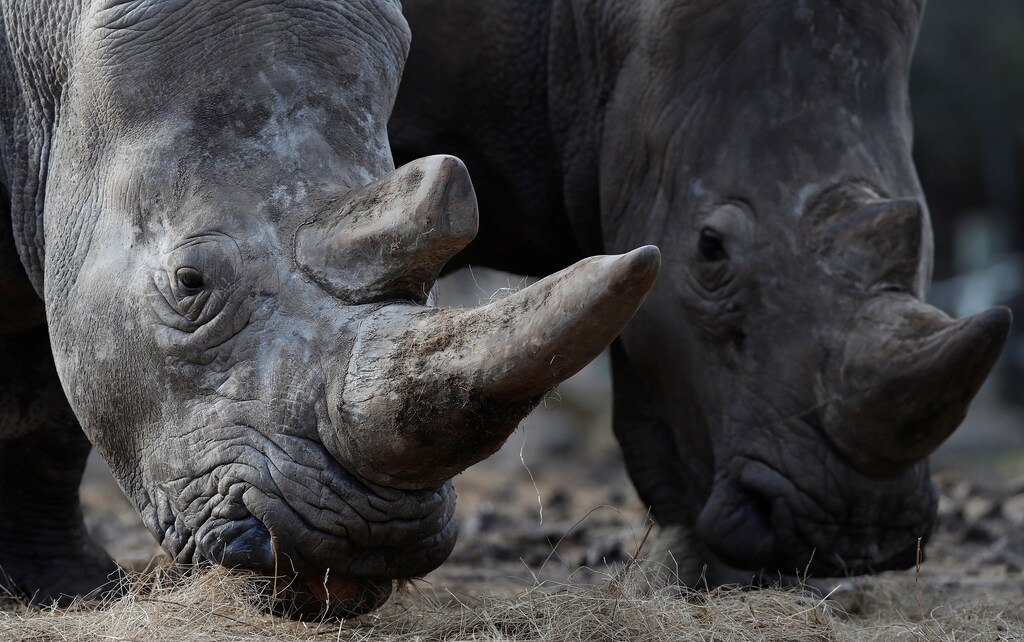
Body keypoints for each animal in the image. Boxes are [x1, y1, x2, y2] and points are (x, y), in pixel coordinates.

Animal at [0, 0, 660, 618]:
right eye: (190, 282)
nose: (370, 537)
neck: (47, 59)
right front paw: (69, 594)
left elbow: (50, 414)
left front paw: (68, 591)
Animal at [388, 0, 1013, 583]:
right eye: (710, 248)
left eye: (923, 235)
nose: (857, 534)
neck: (591, 35)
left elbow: (648, 389)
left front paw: (701, 574)